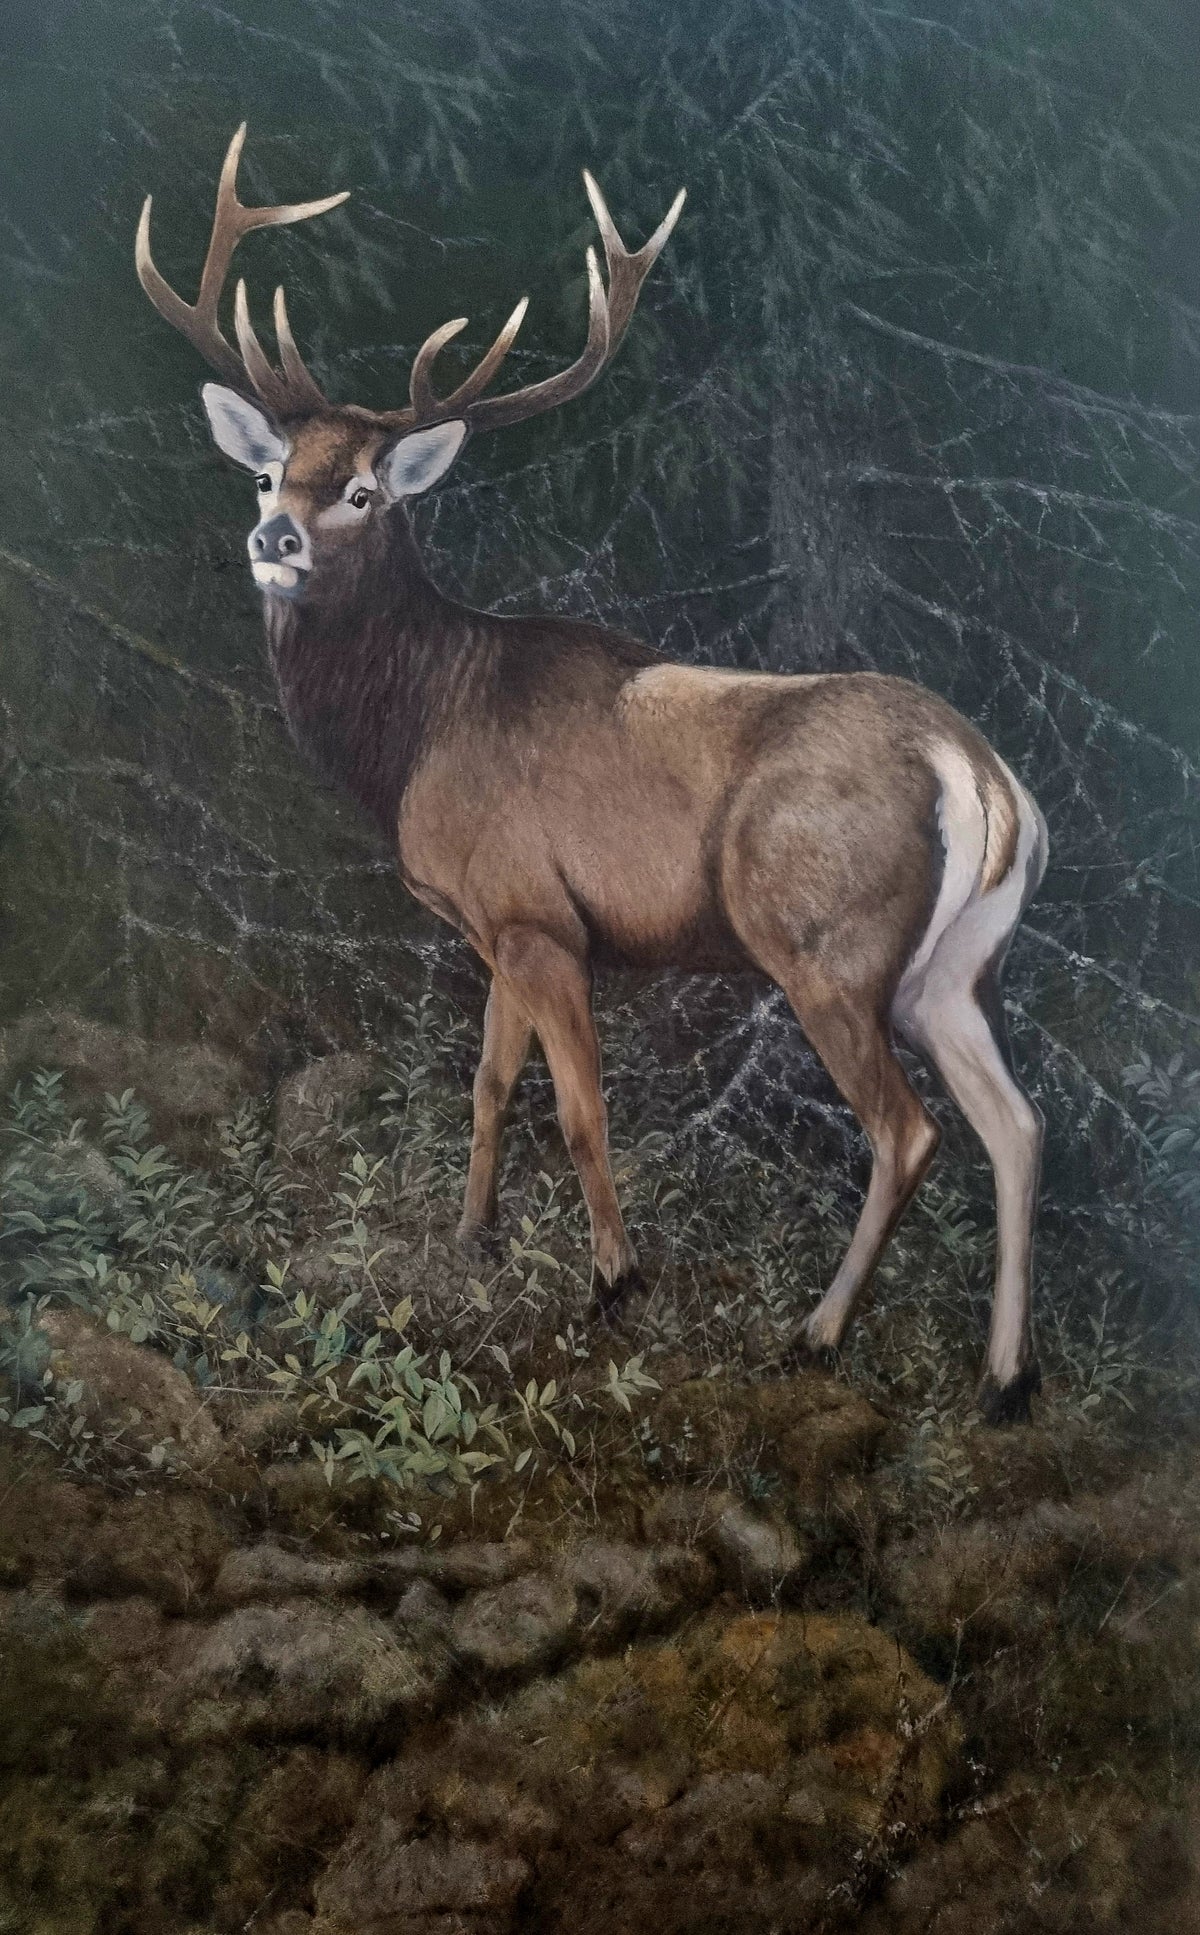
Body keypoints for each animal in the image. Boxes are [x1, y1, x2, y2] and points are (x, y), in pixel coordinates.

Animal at [137, 126, 1049, 1423]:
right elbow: (486, 1084)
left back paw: (818, 1334)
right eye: (270, 475)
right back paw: (1006, 1377)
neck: (419, 729)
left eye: (362, 491)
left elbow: (574, 1106)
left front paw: (615, 1278)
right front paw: (472, 1235)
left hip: (824, 944)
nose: (275, 540)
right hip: (956, 968)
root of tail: (978, 775)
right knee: (1017, 1124)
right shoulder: (493, 924)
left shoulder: (535, 914)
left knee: (909, 1132)